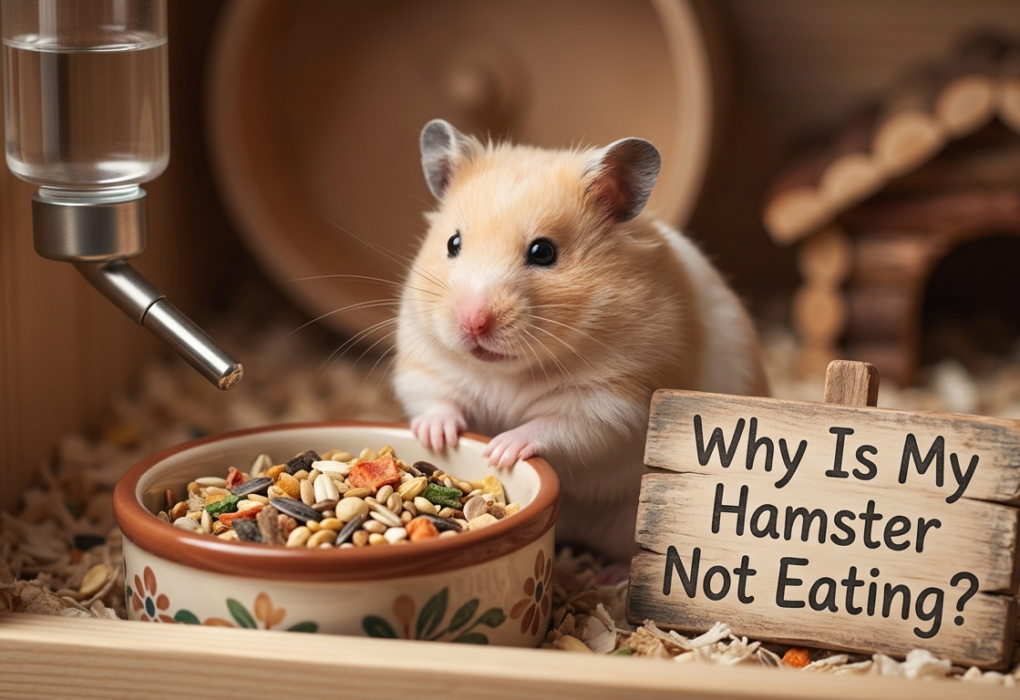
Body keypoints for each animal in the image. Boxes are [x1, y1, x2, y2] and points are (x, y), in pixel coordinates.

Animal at [393, 119, 769, 562]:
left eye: (543, 252)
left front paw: (499, 449)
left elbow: (557, 426)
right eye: (453, 243)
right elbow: (435, 400)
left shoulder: (613, 402)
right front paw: (437, 437)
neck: (508, 372)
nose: (473, 323)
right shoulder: (425, 363)